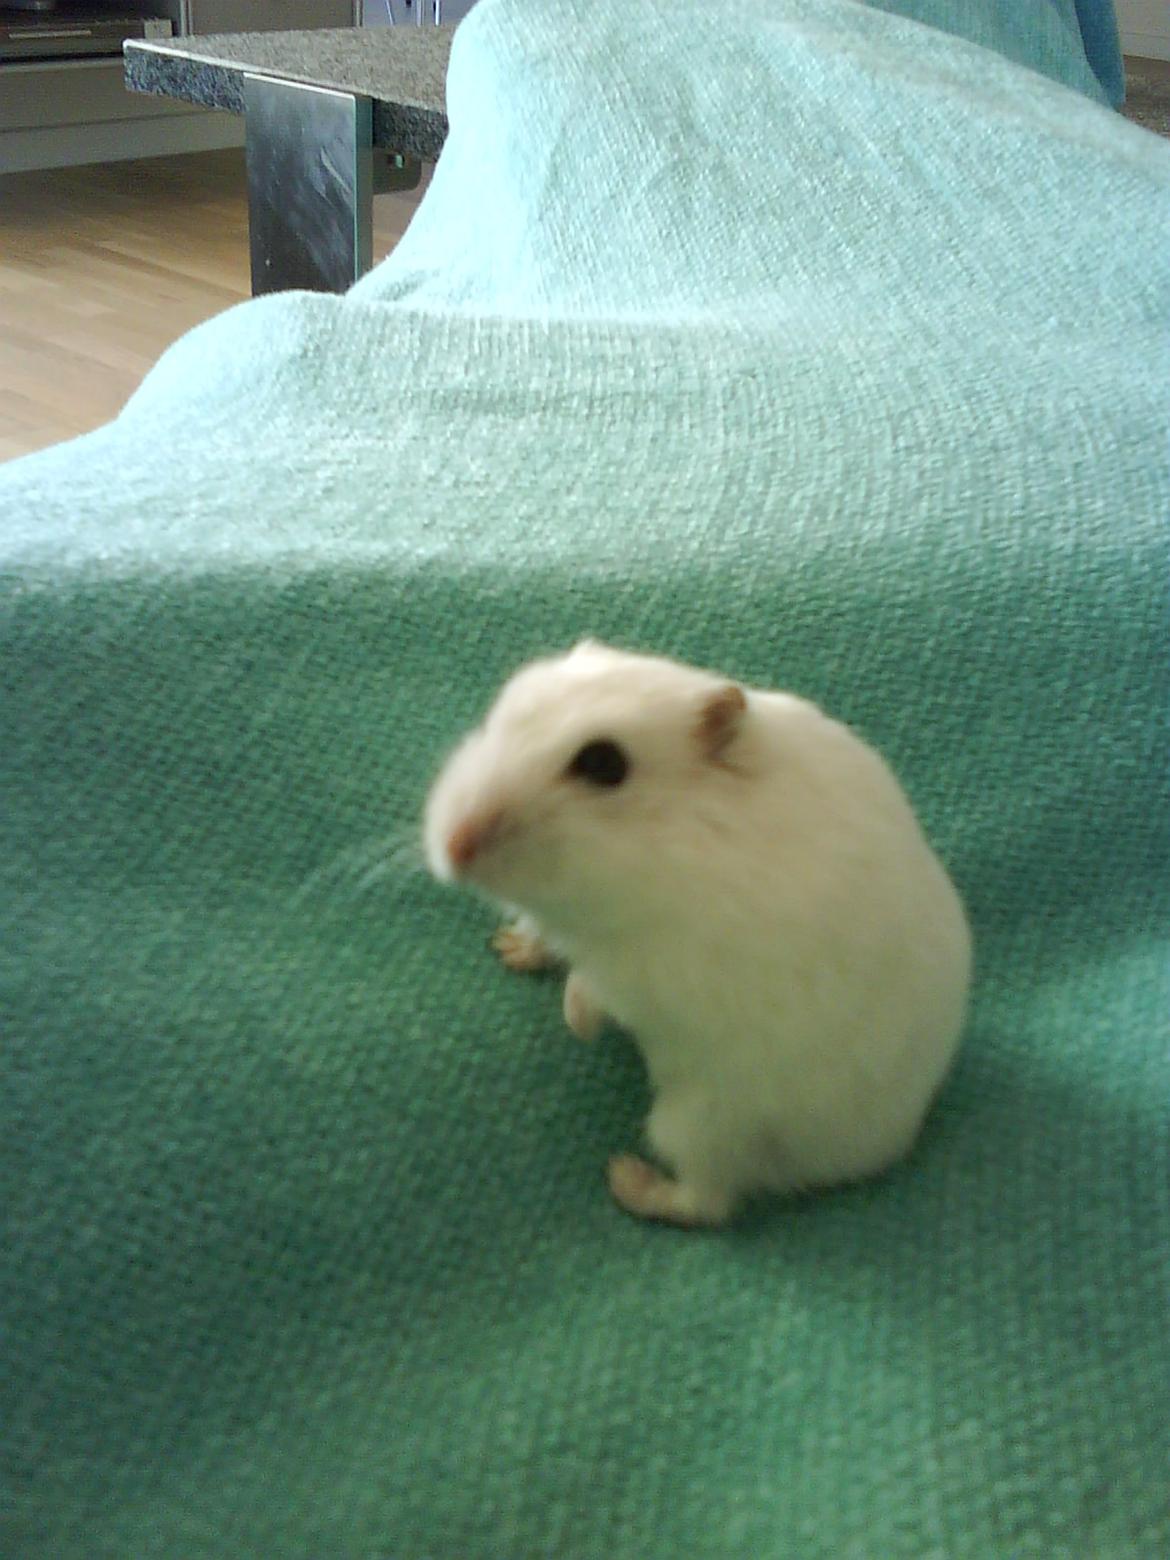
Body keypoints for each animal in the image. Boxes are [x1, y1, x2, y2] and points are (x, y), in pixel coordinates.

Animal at [424, 641, 972, 1227]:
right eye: (502, 712)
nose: (453, 848)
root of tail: (889, 1145)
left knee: (708, 1203)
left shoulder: (645, 970)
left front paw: (578, 1026)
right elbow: (545, 936)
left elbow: (591, 984)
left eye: (603, 764)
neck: (676, 834)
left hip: (704, 1120)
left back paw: (625, 1179)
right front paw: (509, 949)